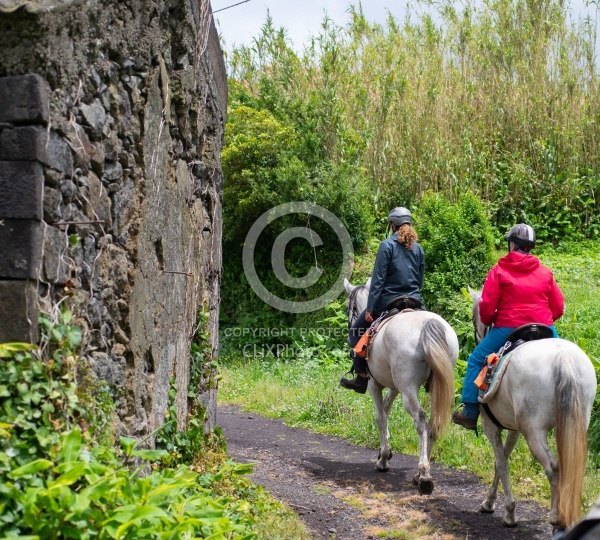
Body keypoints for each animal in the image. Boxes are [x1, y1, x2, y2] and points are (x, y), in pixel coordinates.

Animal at [344, 278, 458, 494]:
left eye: (350, 307)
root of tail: (429, 325)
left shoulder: (374, 384)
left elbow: (380, 417)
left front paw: (383, 459)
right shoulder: (394, 387)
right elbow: (386, 409)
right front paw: (386, 451)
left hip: (408, 388)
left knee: (420, 419)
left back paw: (424, 475)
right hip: (435, 386)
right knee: (433, 423)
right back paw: (418, 473)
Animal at [472, 288, 596, 528]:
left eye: (476, 319)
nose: (478, 335)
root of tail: (563, 357)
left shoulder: (491, 425)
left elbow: (501, 463)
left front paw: (507, 511)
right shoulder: (514, 429)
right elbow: (501, 461)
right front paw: (491, 502)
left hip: (534, 430)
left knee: (553, 467)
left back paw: (556, 518)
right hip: (574, 423)